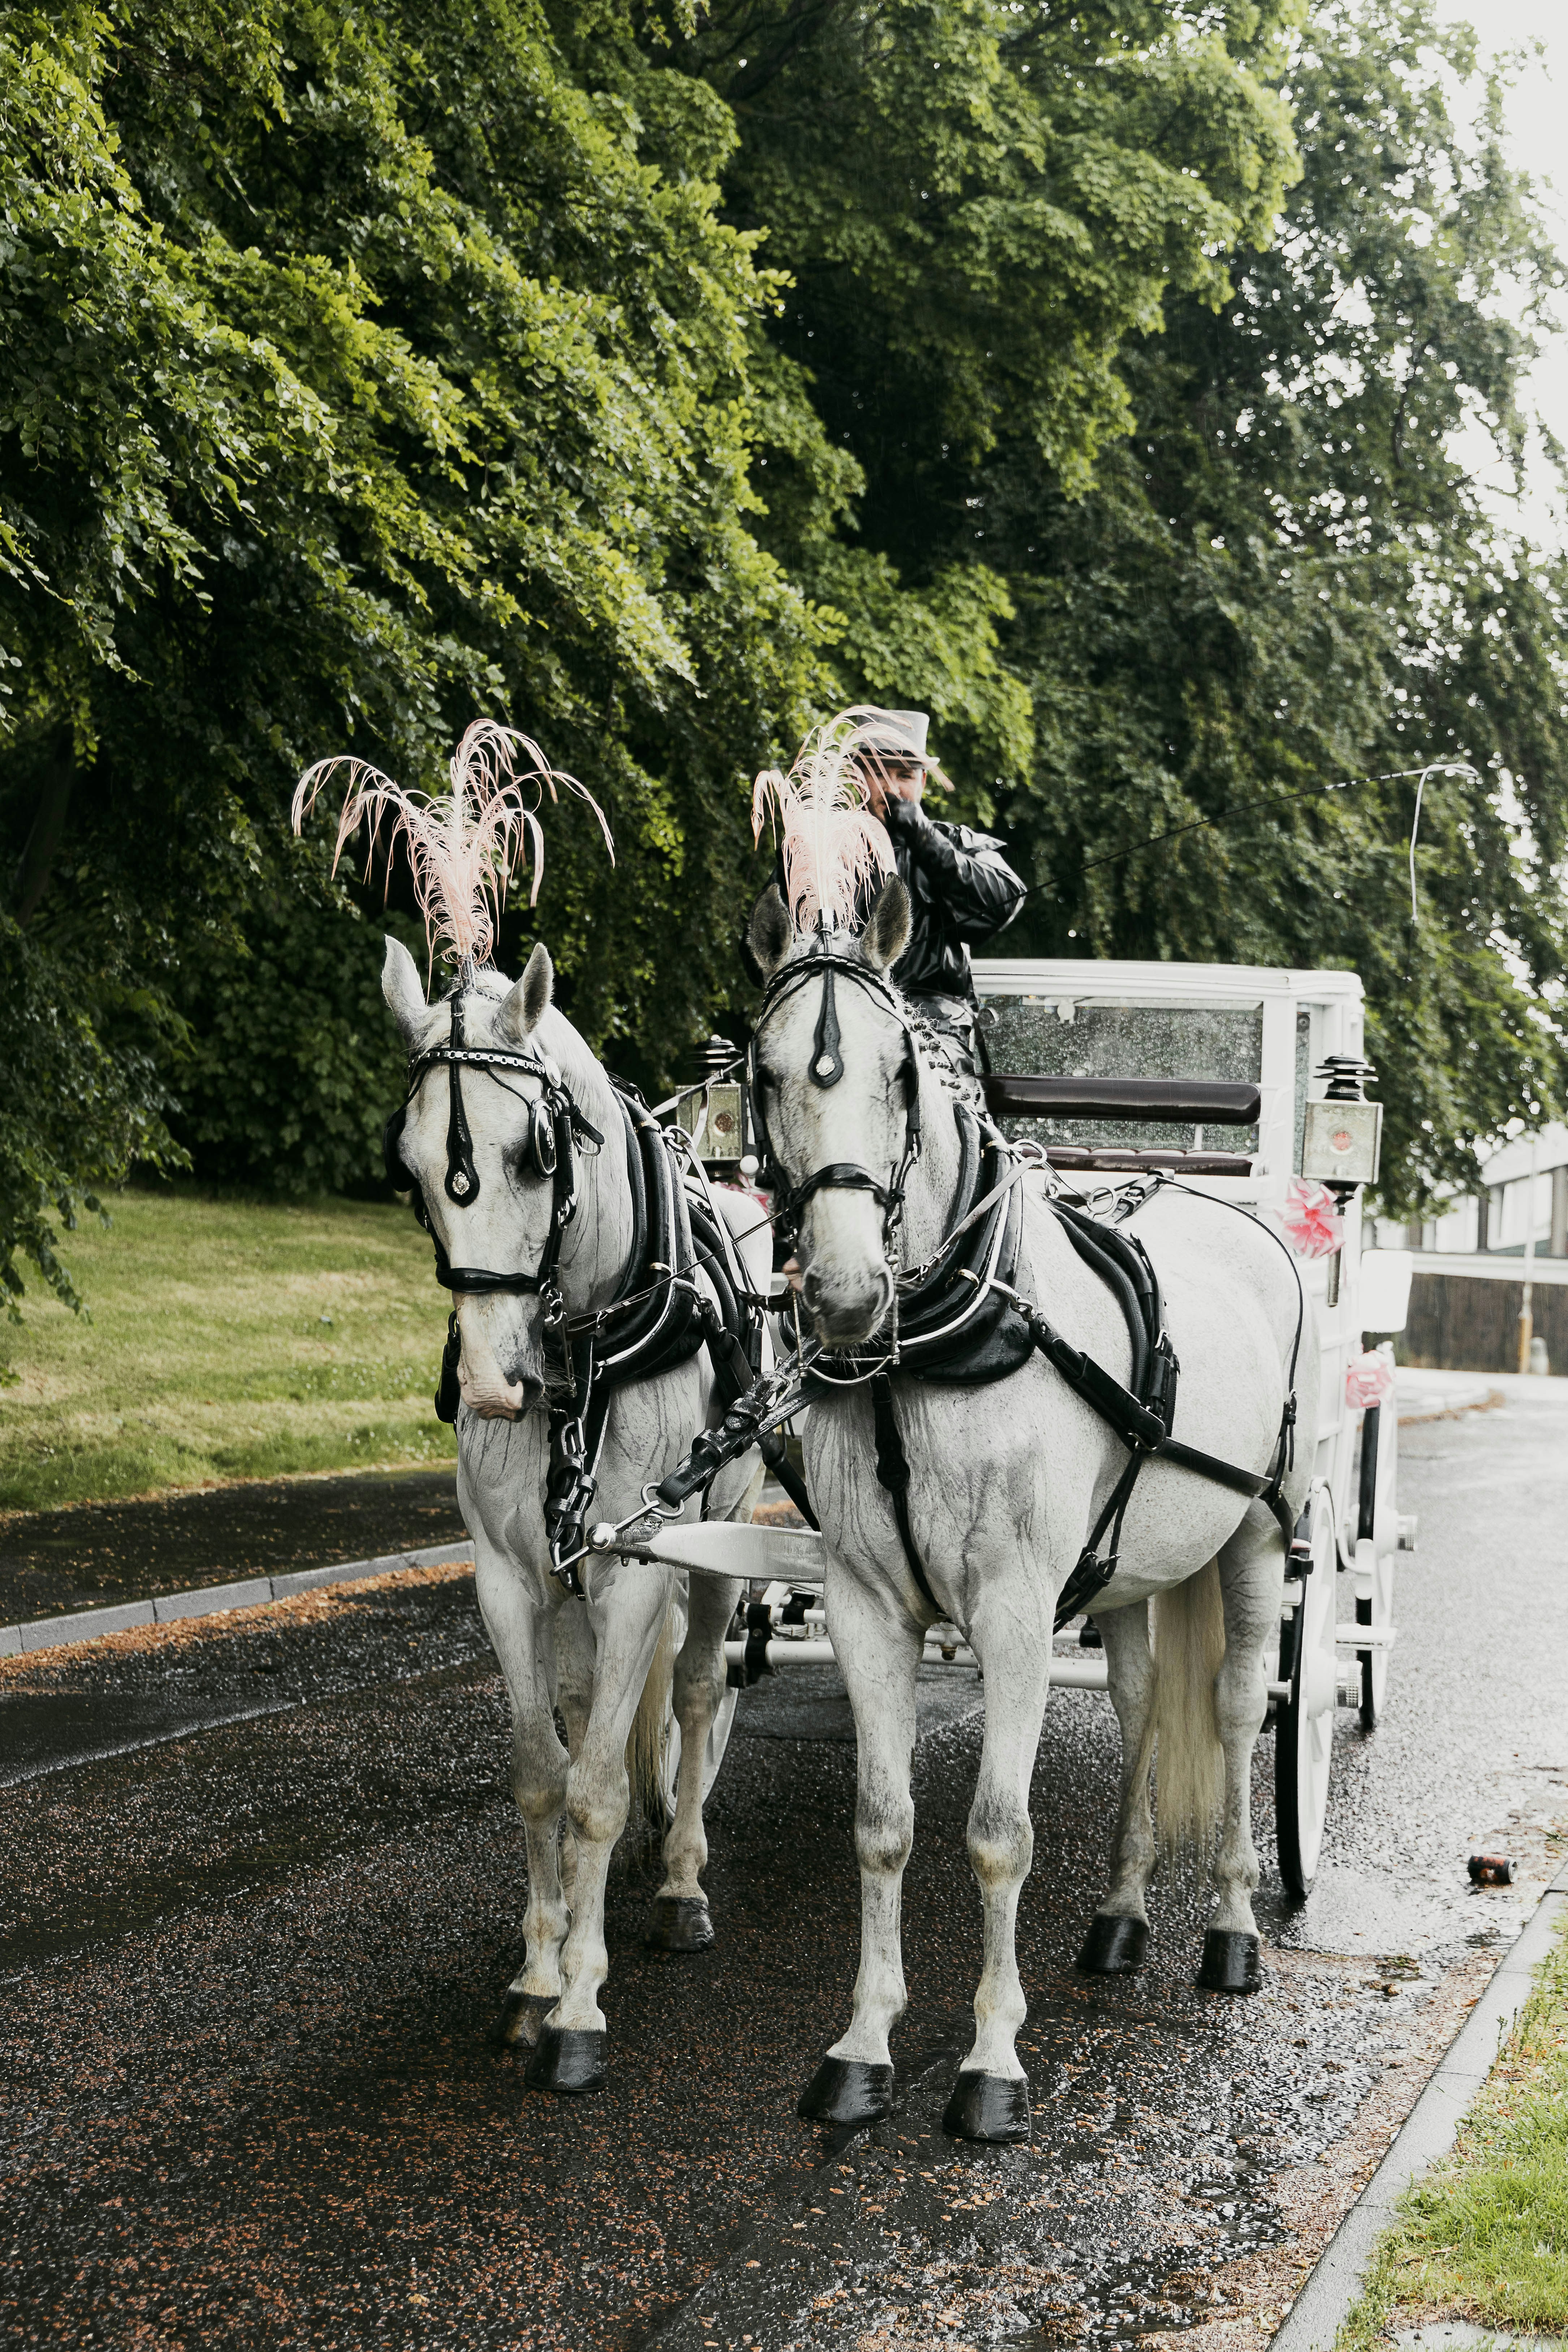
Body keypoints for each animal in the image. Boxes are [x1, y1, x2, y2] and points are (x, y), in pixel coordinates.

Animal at [380, 933, 767, 2093]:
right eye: (409, 1166)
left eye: (534, 1154)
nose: (492, 1384)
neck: (581, 1350)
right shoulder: (508, 1578)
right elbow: (542, 1776)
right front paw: (536, 1975)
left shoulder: (638, 1565)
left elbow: (597, 1787)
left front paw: (583, 2006)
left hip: (720, 1535)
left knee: (697, 1690)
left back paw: (681, 1879)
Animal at [745, 875, 1317, 2143]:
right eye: (761, 1071)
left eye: (900, 1070)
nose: (847, 1291)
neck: (925, 1351)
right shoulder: (865, 1603)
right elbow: (882, 1820)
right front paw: (861, 2045)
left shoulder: (1010, 1608)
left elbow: (996, 1835)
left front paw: (991, 2061)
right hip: (1132, 1567)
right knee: (1146, 1701)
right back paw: (1120, 1913)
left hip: (1259, 1533)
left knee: (1234, 1704)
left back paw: (1231, 1929)